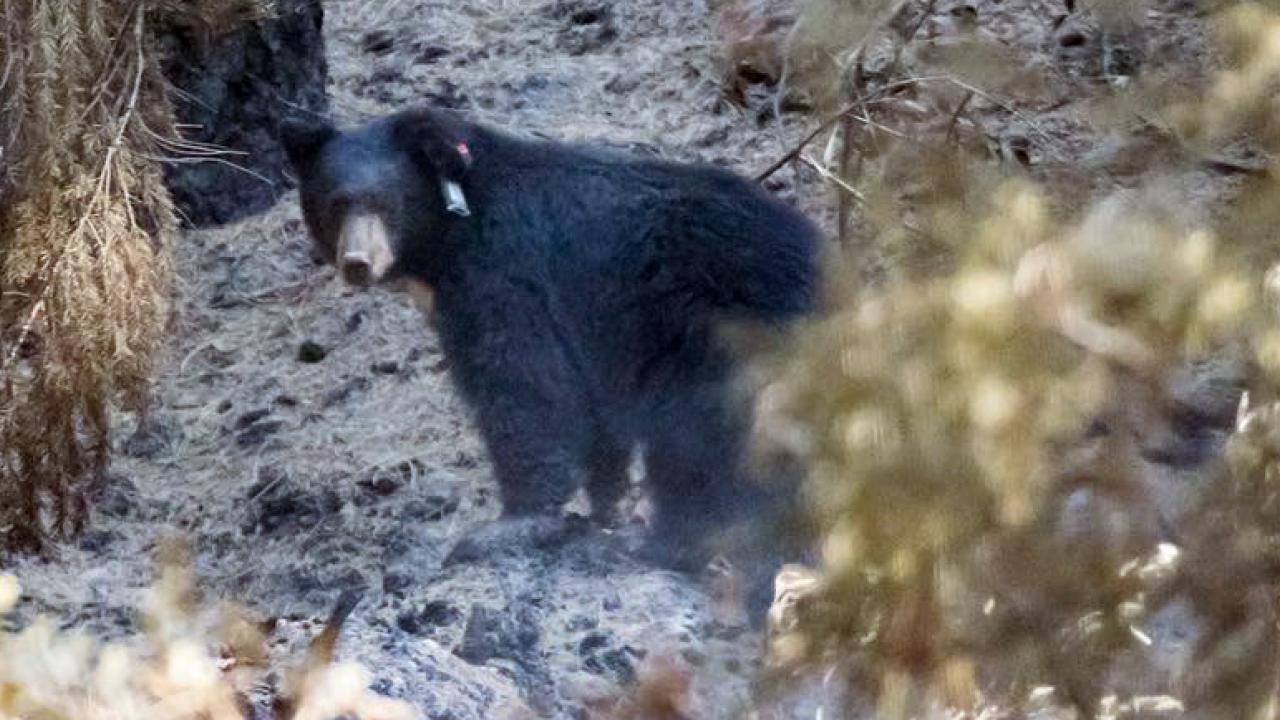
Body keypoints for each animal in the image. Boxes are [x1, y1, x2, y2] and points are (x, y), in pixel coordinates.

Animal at [280, 106, 820, 612]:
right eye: (334, 203)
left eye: (385, 202)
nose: (357, 264)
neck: (452, 231)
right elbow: (593, 415)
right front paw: (604, 508)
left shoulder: (505, 275)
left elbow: (524, 388)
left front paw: (504, 528)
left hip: (719, 345)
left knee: (693, 445)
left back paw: (661, 546)